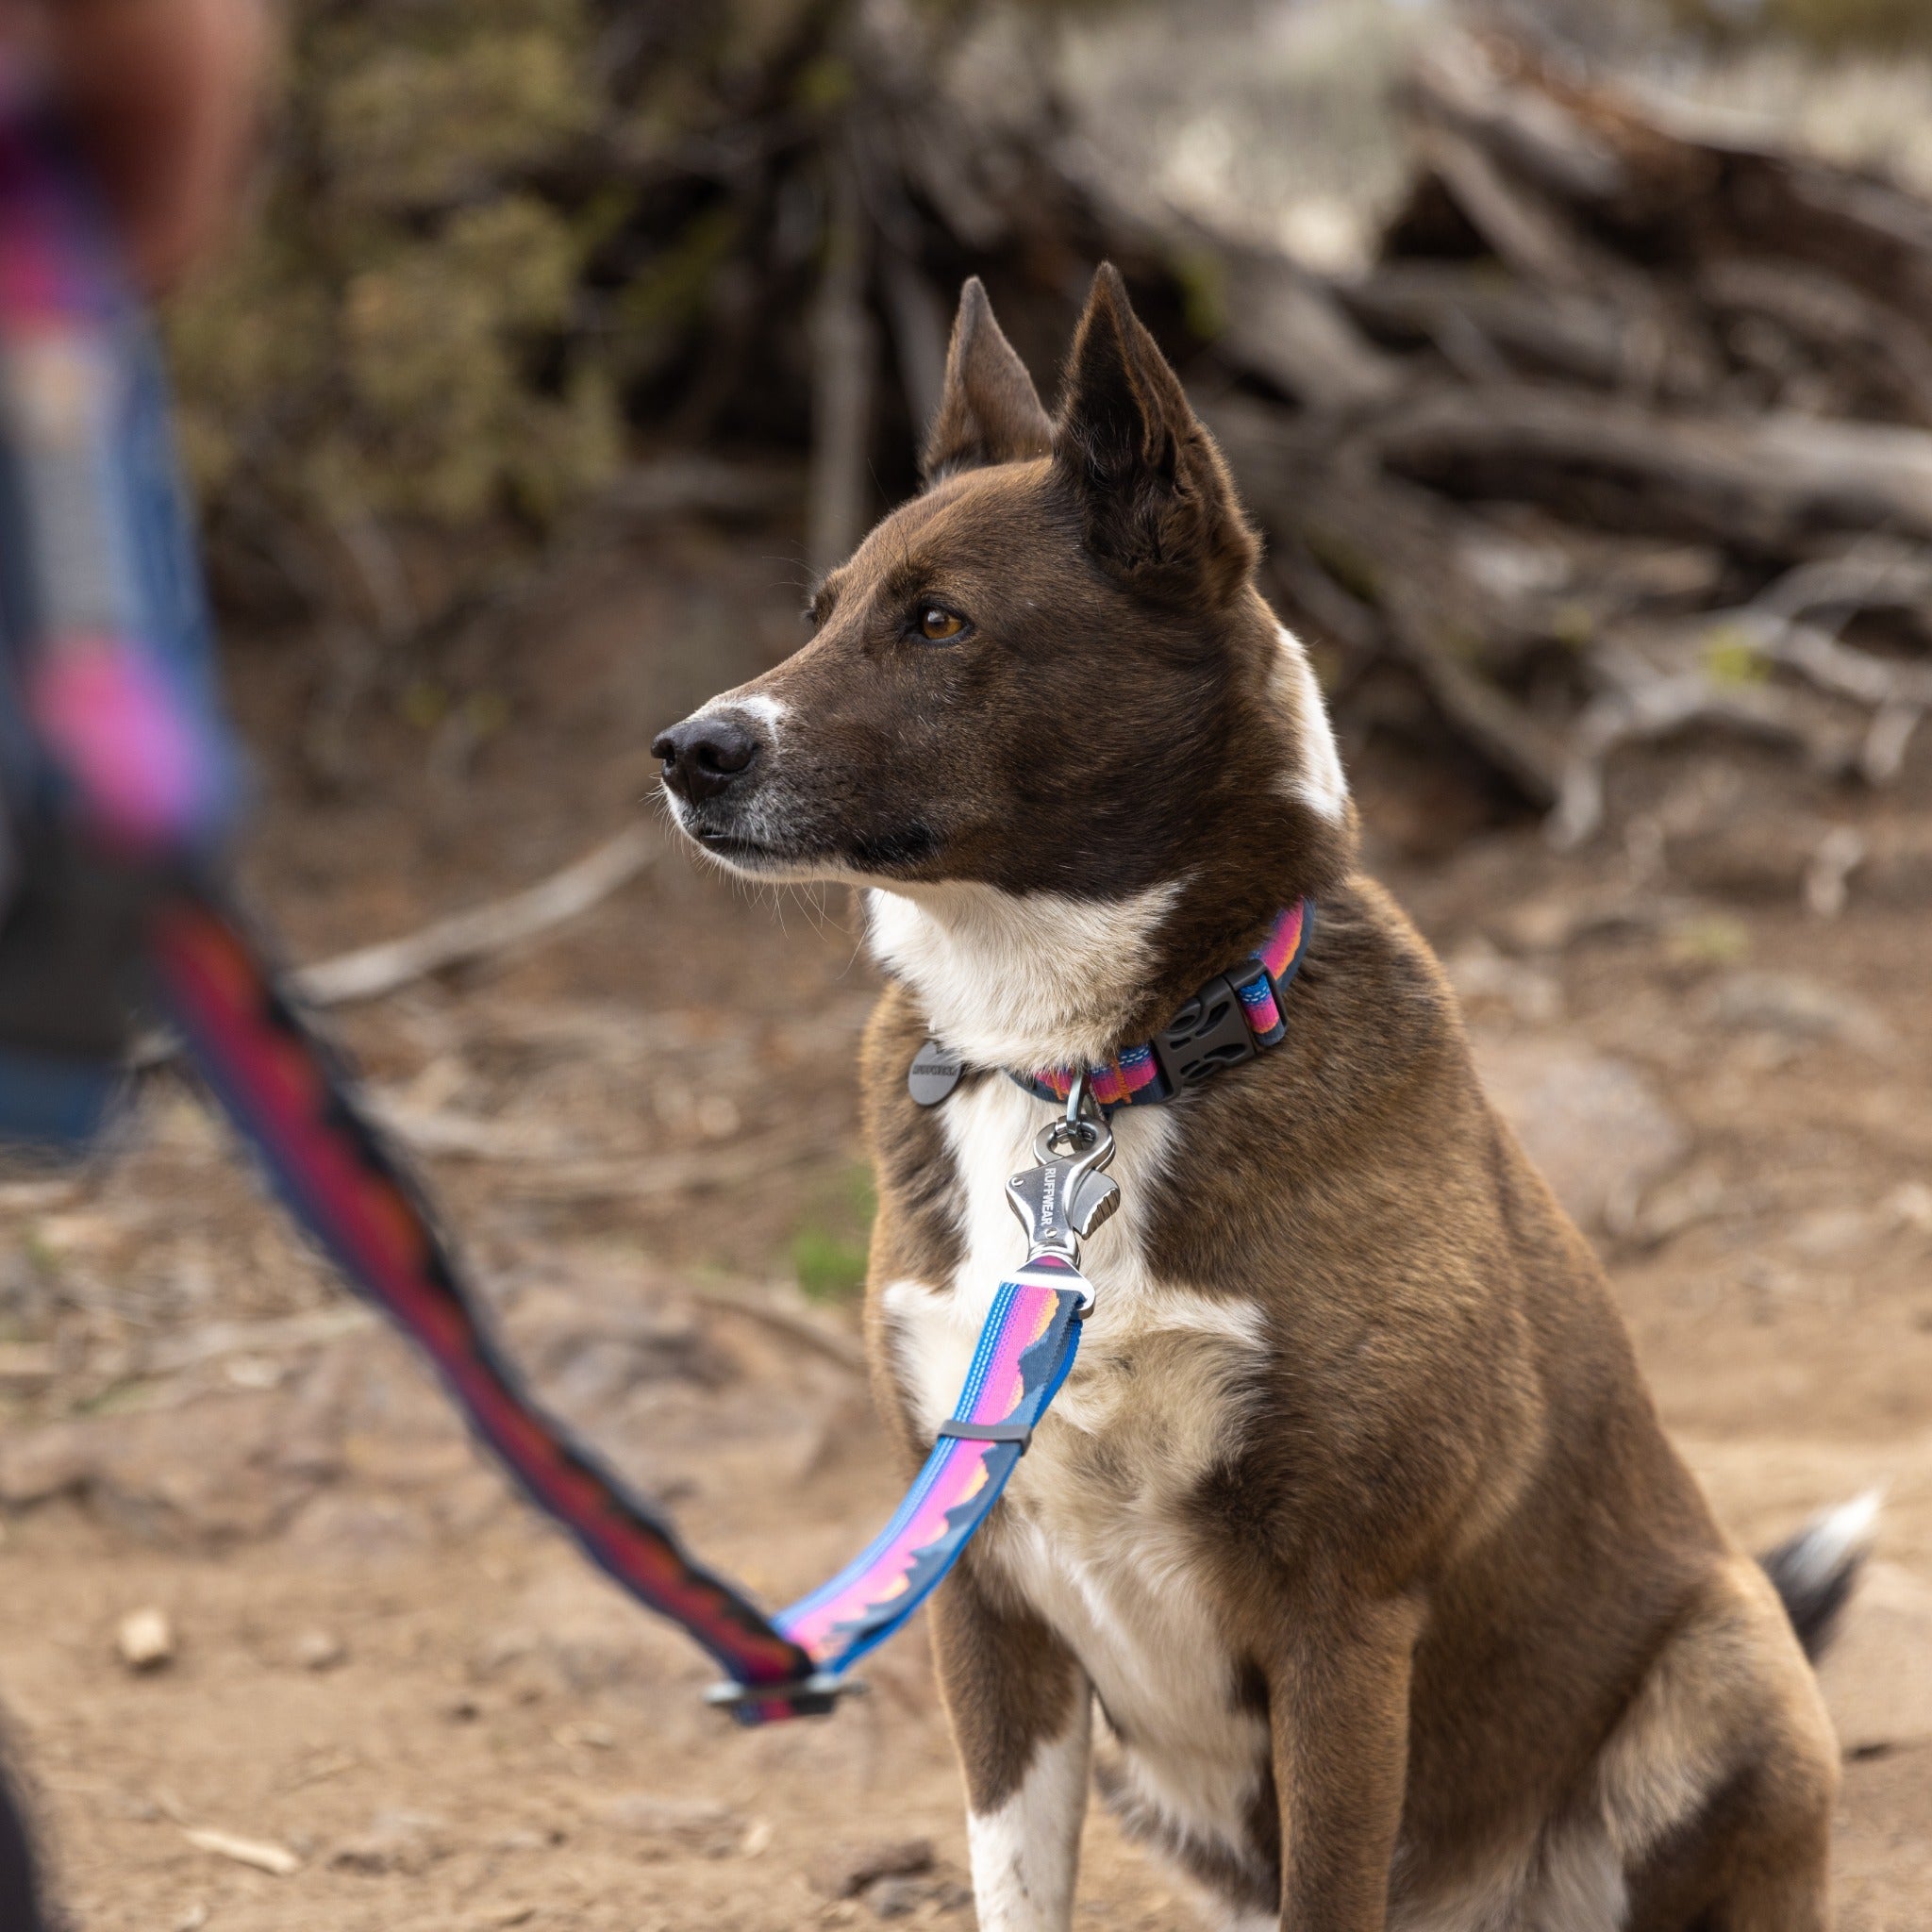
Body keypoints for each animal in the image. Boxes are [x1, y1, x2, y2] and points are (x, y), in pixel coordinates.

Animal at [653, 264, 1870, 1924]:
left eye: (941, 622)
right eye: (822, 613)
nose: (683, 753)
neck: (1092, 1067)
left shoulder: (1341, 1616)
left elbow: (1330, 1884)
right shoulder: (984, 1593)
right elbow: (1014, 1884)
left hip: (1731, 1669)